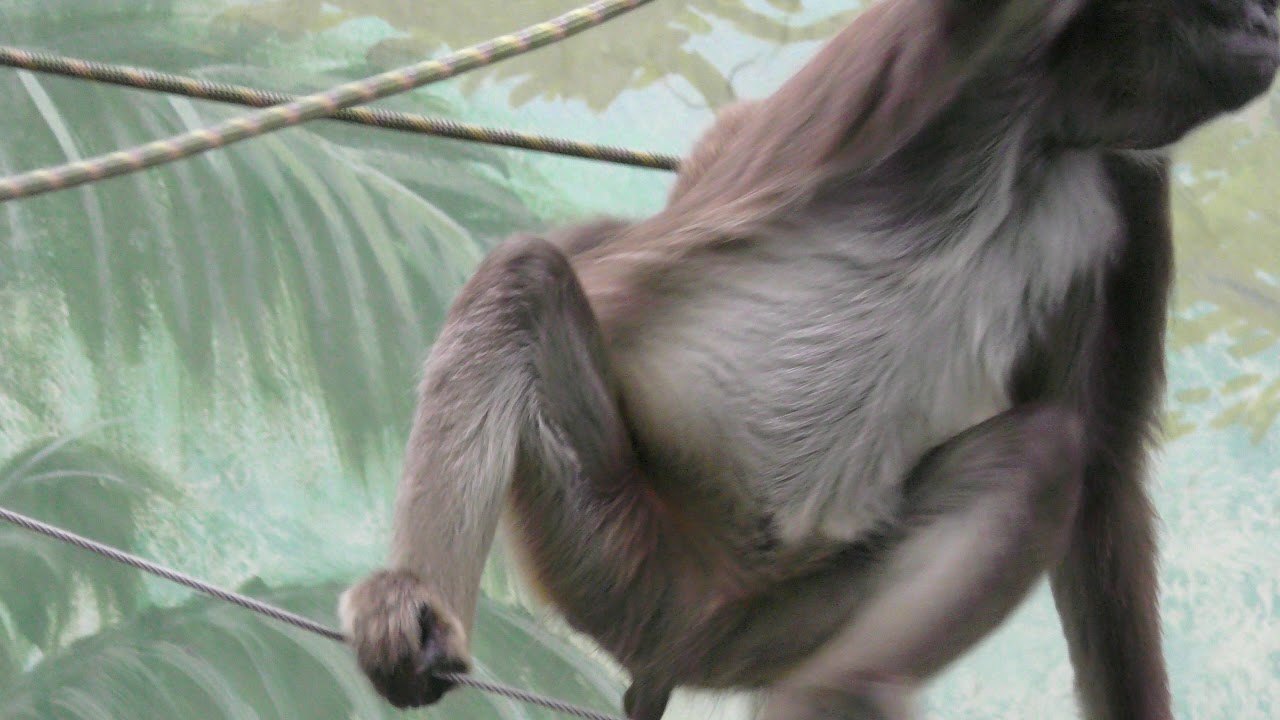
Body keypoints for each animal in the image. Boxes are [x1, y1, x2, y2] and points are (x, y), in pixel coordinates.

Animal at [339, 1, 1280, 718]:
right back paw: (413, 599)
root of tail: (684, 615)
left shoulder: (1127, 176)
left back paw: (842, 692)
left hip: (774, 620)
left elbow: (1109, 476)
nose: (1269, 19)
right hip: (610, 539)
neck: (1047, 126)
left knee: (1042, 455)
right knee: (524, 281)